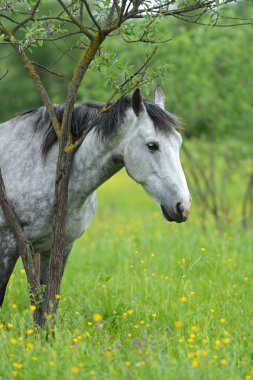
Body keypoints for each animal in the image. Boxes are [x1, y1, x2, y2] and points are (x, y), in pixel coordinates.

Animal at [0, 87, 190, 306]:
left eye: (178, 143)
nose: (183, 206)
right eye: (152, 145)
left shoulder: (57, 248)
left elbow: (48, 306)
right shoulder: (7, 246)